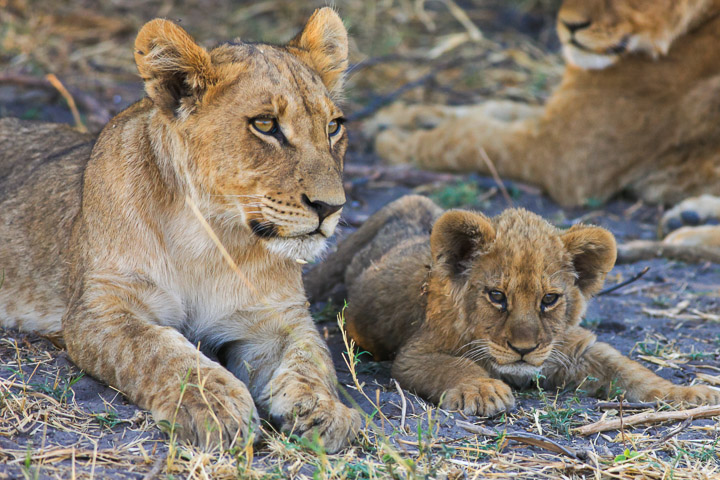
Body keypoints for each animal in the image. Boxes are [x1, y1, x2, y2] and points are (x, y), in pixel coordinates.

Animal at [0, 9, 362, 452]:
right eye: (265, 124)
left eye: (333, 127)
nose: (331, 207)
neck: (211, 236)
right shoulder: (100, 307)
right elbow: (160, 349)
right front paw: (215, 405)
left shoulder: (277, 317)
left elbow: (312, 357)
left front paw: (325, 410)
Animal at [305, 196, 720, 415]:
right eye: (497, 296)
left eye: (549, 300)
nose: (523, 349)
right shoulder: (415, 353)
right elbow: (456, 365)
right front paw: (483, 390)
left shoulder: (574, 347)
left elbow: (631, 370)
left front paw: (686, 394)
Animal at [368, 0, 720, 247]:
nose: (568, 26)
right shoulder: (559, 115)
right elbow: (491, 111)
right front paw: (398, 117)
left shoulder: (563, 157)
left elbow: (468, 141)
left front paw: (396, 143)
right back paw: (688, 215)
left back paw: (685, 232)